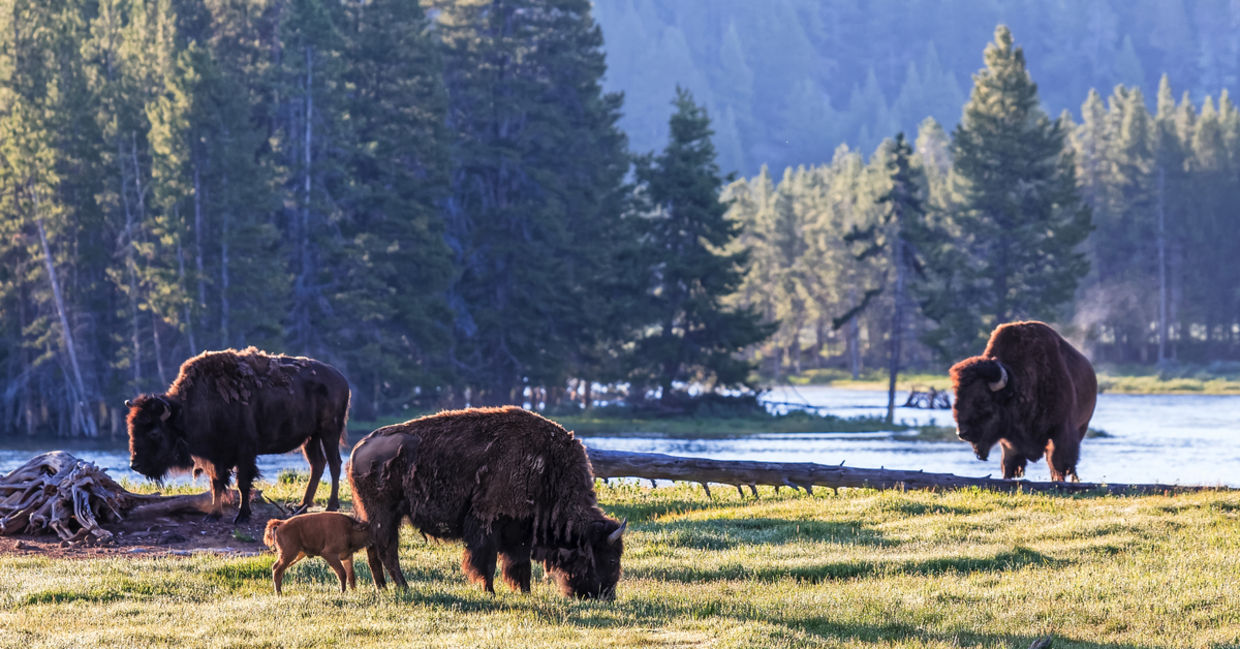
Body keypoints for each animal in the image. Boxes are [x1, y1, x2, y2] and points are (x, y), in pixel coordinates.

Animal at [126, 347, 350, 522]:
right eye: (132, 430)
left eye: (155, 432)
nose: (134, 465)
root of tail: (341, 378)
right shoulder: (215, 457)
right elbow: (216, 483)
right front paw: (213, 515)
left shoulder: (245, 452)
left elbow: (242, 483)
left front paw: (242, 516)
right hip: (310, 438)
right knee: (317, 464)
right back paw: (301, 506)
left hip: (329, 431)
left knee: (335, 463)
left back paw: (331, 506)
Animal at [348, 406, 626, 599]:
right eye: (612, 560)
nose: (606, 596)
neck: (549, 470)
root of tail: (358, 448)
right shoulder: (488, 523)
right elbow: (487, 562)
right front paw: (490, 591)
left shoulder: (520, 531)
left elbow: (519, 565)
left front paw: (525, 592)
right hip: (384, 514)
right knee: (387, 550)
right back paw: (403, 587)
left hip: (378, 516)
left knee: (375, 550)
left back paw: (384, 588)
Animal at [950, 321, 1097, 481]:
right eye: (957, 396)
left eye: (983, 399)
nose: (962, 433)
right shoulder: (1009, 442)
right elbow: (1009, 464)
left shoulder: (1062, 430)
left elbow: (1058, 463)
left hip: (1083, 426)